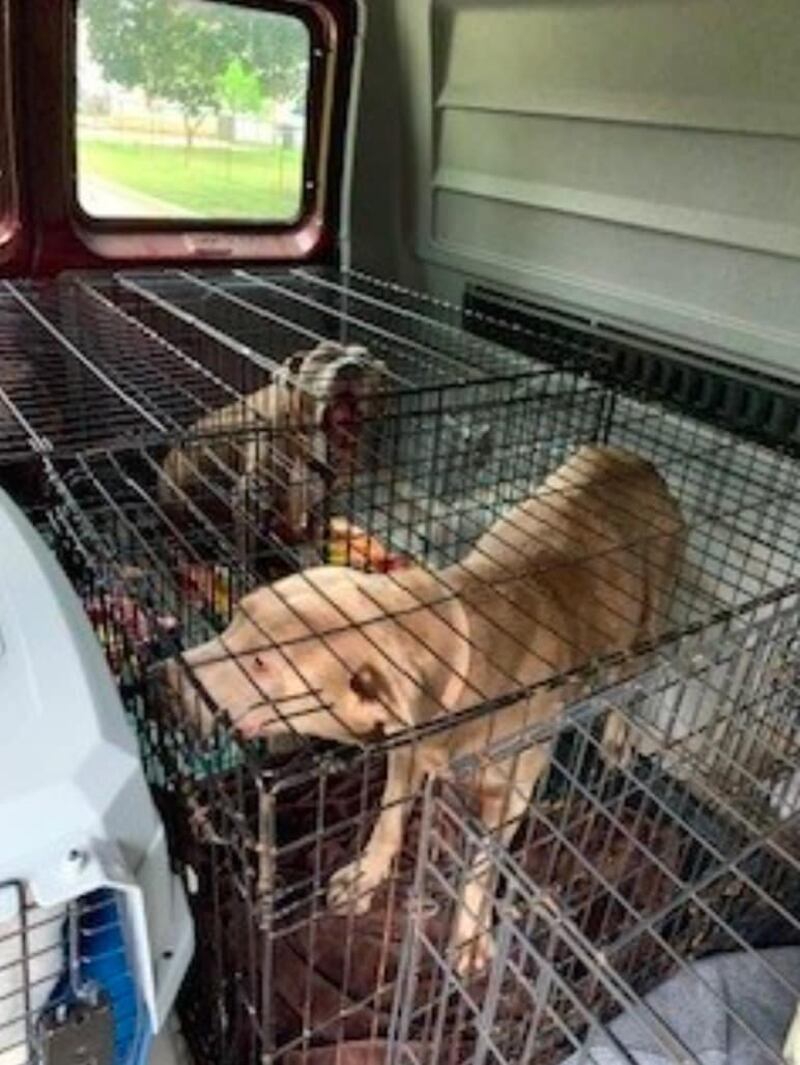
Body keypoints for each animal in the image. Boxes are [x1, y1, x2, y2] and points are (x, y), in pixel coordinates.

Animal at [162, 445, 685, 972]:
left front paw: (471, 936)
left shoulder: (512, 788)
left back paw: (617, 740)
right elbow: (389, 817)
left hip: (651, 616)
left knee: (634, 681)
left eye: (262, 663)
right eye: (239, 615)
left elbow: (483, 864)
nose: (169, 675)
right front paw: (366, 875)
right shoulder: (404, 748)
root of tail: (635, 458)